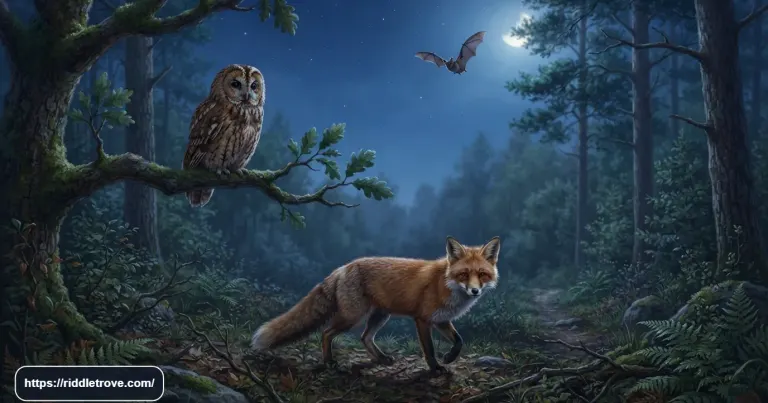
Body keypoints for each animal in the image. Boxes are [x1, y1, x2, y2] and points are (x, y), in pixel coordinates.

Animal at [250, 236, 501, 374]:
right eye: (464, 274)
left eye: (482, 274)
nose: (475, 291)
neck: (446, 284)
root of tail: (343, 267)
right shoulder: (422, 319)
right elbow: (429, 349)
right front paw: (436, 368)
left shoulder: (441, 320)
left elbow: (459, 341)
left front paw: (449, 358)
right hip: (353, 317)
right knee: (326, 332)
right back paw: (330, 362)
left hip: (380, 316)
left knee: (365, 337)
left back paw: (380, 359)